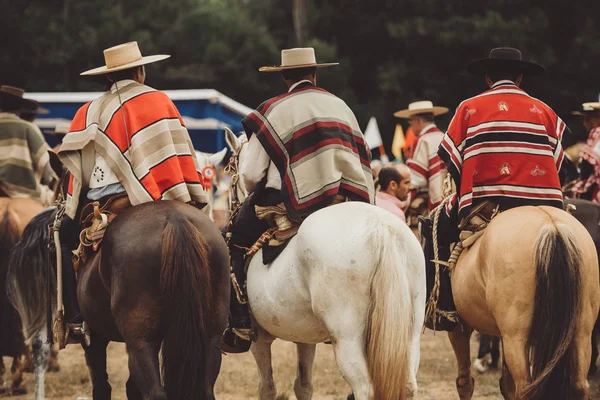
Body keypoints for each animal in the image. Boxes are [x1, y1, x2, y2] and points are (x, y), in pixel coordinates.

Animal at [7, 162, 232, 396]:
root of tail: (176, 220)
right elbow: (131, 388)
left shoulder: (95, 338)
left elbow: (101, 386)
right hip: (209, 337)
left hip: (141, 343)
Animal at [225, 129, 426, 400]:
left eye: (232, 172)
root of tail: (380, 228)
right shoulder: (304, 337)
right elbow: (303, 385)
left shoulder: (260, 340)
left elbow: (267, 387)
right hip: (409, 332)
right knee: (408, 385)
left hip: (348, 338)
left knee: (364, 387)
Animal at [448, 203, 596, 400]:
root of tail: (552, 227)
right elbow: (506, 384)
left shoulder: (459, 326)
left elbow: (464, 382)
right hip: (581, 332)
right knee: (579, 386)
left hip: (516, 338)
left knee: (525, 388)